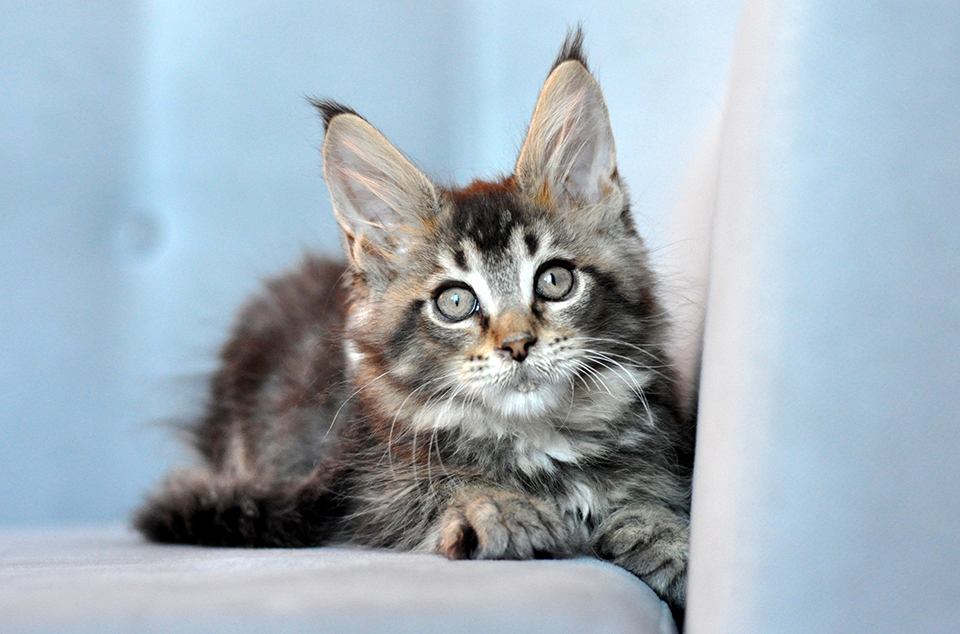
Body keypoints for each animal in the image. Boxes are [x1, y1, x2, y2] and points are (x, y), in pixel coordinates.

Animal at [135, 29, 692, 612]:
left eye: (555, 280)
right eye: (456, 302)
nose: (518, 344)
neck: (539, 441)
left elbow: (650, 499)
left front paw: (665, 537)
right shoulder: (367, 484)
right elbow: (439, 489)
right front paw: (496, 507)